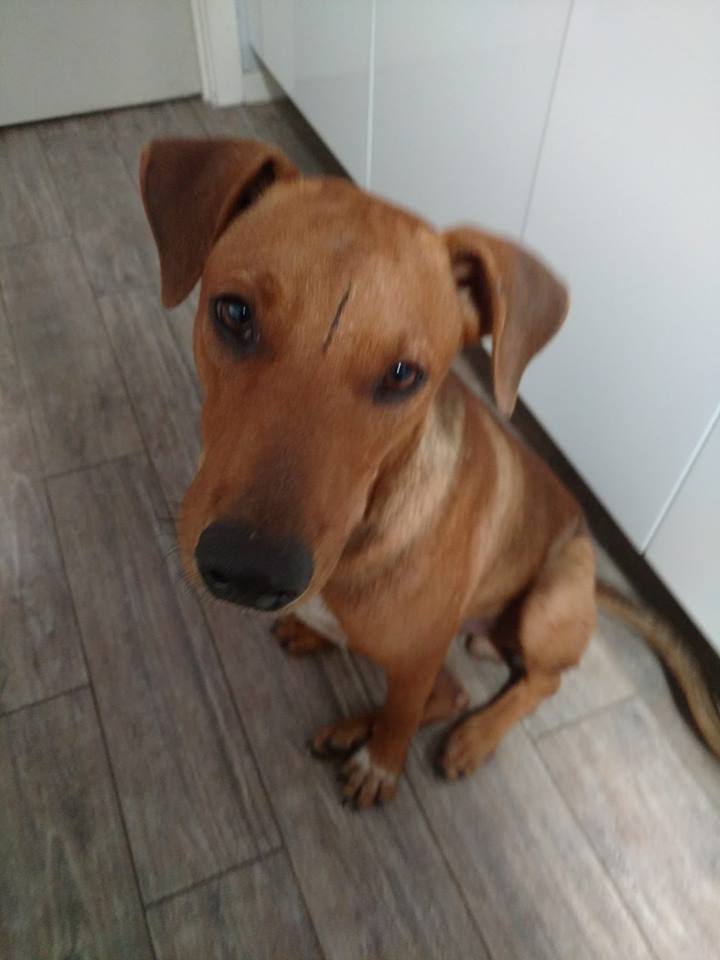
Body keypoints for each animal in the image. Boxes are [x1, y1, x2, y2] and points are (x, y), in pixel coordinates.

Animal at [139, 137, 720, 808]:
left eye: (402, 375)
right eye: (234, 313)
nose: (251, 573)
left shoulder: (417, 658)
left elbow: (401, 716)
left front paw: (381, 764)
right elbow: (404, 701)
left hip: (549, 600)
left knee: (525, 685)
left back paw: (472, 736)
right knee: (452, 689)